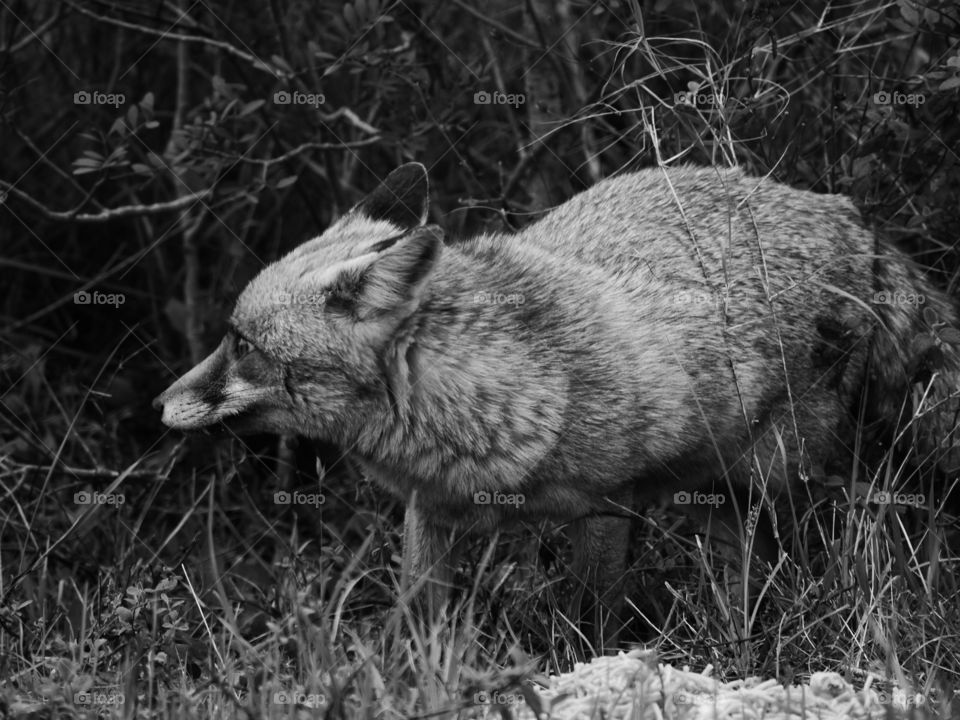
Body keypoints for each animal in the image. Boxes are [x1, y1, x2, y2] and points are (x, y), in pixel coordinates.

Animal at [154, 163, 956, 648]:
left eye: (240, 343)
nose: (160, 402)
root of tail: (849, 210)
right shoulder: (430, 513)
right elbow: (419, 624)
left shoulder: (608, 506)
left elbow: (592, 620)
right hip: (722, 496)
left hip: (770, 476)